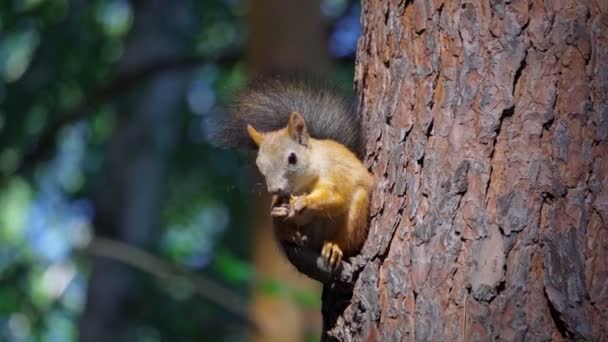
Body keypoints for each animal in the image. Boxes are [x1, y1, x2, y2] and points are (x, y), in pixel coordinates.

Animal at [214, 78, 376, 278]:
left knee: (347, 238)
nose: (275, 190)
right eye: (259, 164)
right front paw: (280, 208)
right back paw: (290, 232)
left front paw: (303, 202)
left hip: (356, 213)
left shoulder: (336, 173)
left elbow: (336, 198)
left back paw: (333, 247)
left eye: (292, 158)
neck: (304, 182)